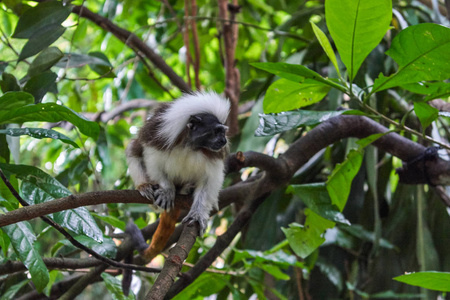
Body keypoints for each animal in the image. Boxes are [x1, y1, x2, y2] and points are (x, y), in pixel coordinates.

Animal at [125, 91, 229, 260]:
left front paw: (198, 214)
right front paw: (167, 190)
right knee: (133, 148)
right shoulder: (159, 136)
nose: (224, 140)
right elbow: (152, 160)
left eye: (223, 132)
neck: (191, 145)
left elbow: (211, 180)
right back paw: (145, 186)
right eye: (217, 131)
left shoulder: (214, 154)